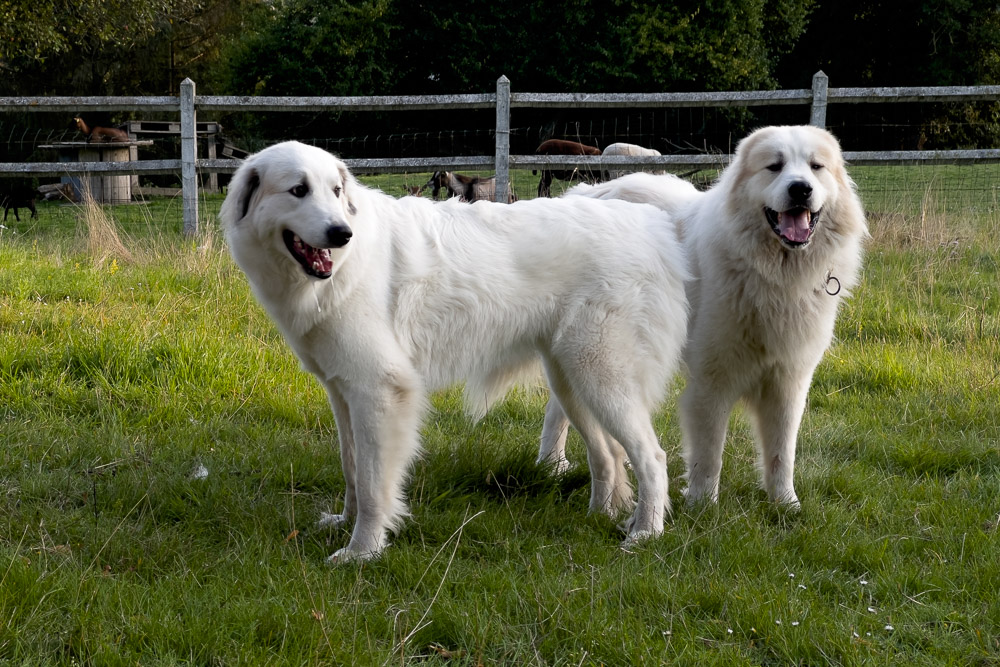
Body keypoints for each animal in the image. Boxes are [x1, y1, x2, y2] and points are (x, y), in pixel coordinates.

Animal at [220, 142, 692, 564]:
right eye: (298, 190)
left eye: (336, 191)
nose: (342, 233)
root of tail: (649, 223)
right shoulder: (344, 392)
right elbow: (352, 468)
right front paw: (344, 523)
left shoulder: (380, 391)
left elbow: (373, 485)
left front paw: (362, 551)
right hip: (571, 380)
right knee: (608, 455)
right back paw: (599, 518)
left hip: (601, 376)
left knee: (652, 457)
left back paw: (645, 533)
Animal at [540, 125, 868, 508]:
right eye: (775, 167)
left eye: (816, 167)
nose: (801, 188)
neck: (770, 274)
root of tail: (586, 191)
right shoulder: (713, 381)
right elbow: (709, 453)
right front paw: (702, 506)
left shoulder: (789, 380)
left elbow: (781, 452)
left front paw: (785, 504)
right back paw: (554, 463)